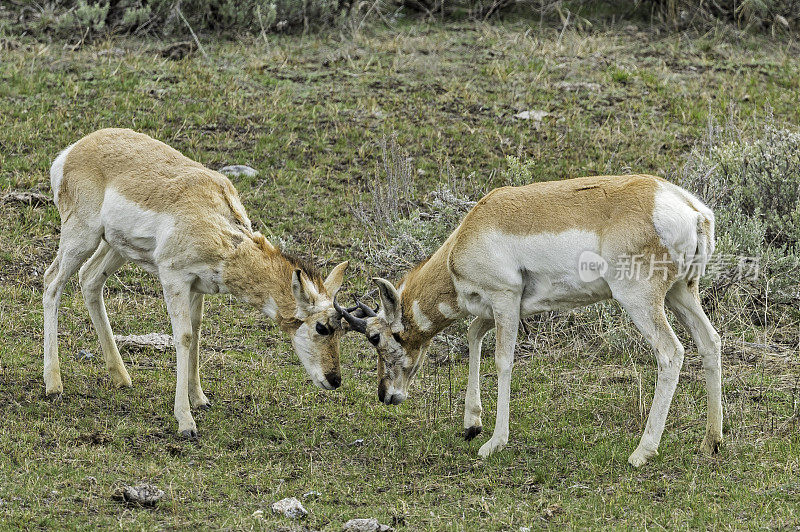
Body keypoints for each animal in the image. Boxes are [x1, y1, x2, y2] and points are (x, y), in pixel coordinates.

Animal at [43, 128, 350, 436]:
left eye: (343, 330)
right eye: (321, 327)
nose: (334, 379)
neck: (219, 227)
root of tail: (74, 149)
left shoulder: (197, 287)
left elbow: (198, 332)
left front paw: (200, 399)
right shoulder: (174, 278)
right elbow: (184, 337)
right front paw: (186, 421)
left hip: (115, 248)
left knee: (89, 279)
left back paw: (121, 377)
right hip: (81, 236)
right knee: (52, 282)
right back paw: (54, 385)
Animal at [340, 175, 720, 466]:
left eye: (375, 338)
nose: (385, 395)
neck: (466, 236)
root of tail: (690, 209)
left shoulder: (504, 299)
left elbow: (503, 360)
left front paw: (493, 443)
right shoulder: (498, 309)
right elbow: (473, 335)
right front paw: (472, 425)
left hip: (640, 299)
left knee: (670, 352)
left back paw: (642, 452)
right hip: (681, 293)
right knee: (710, 342)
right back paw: (711, 441)